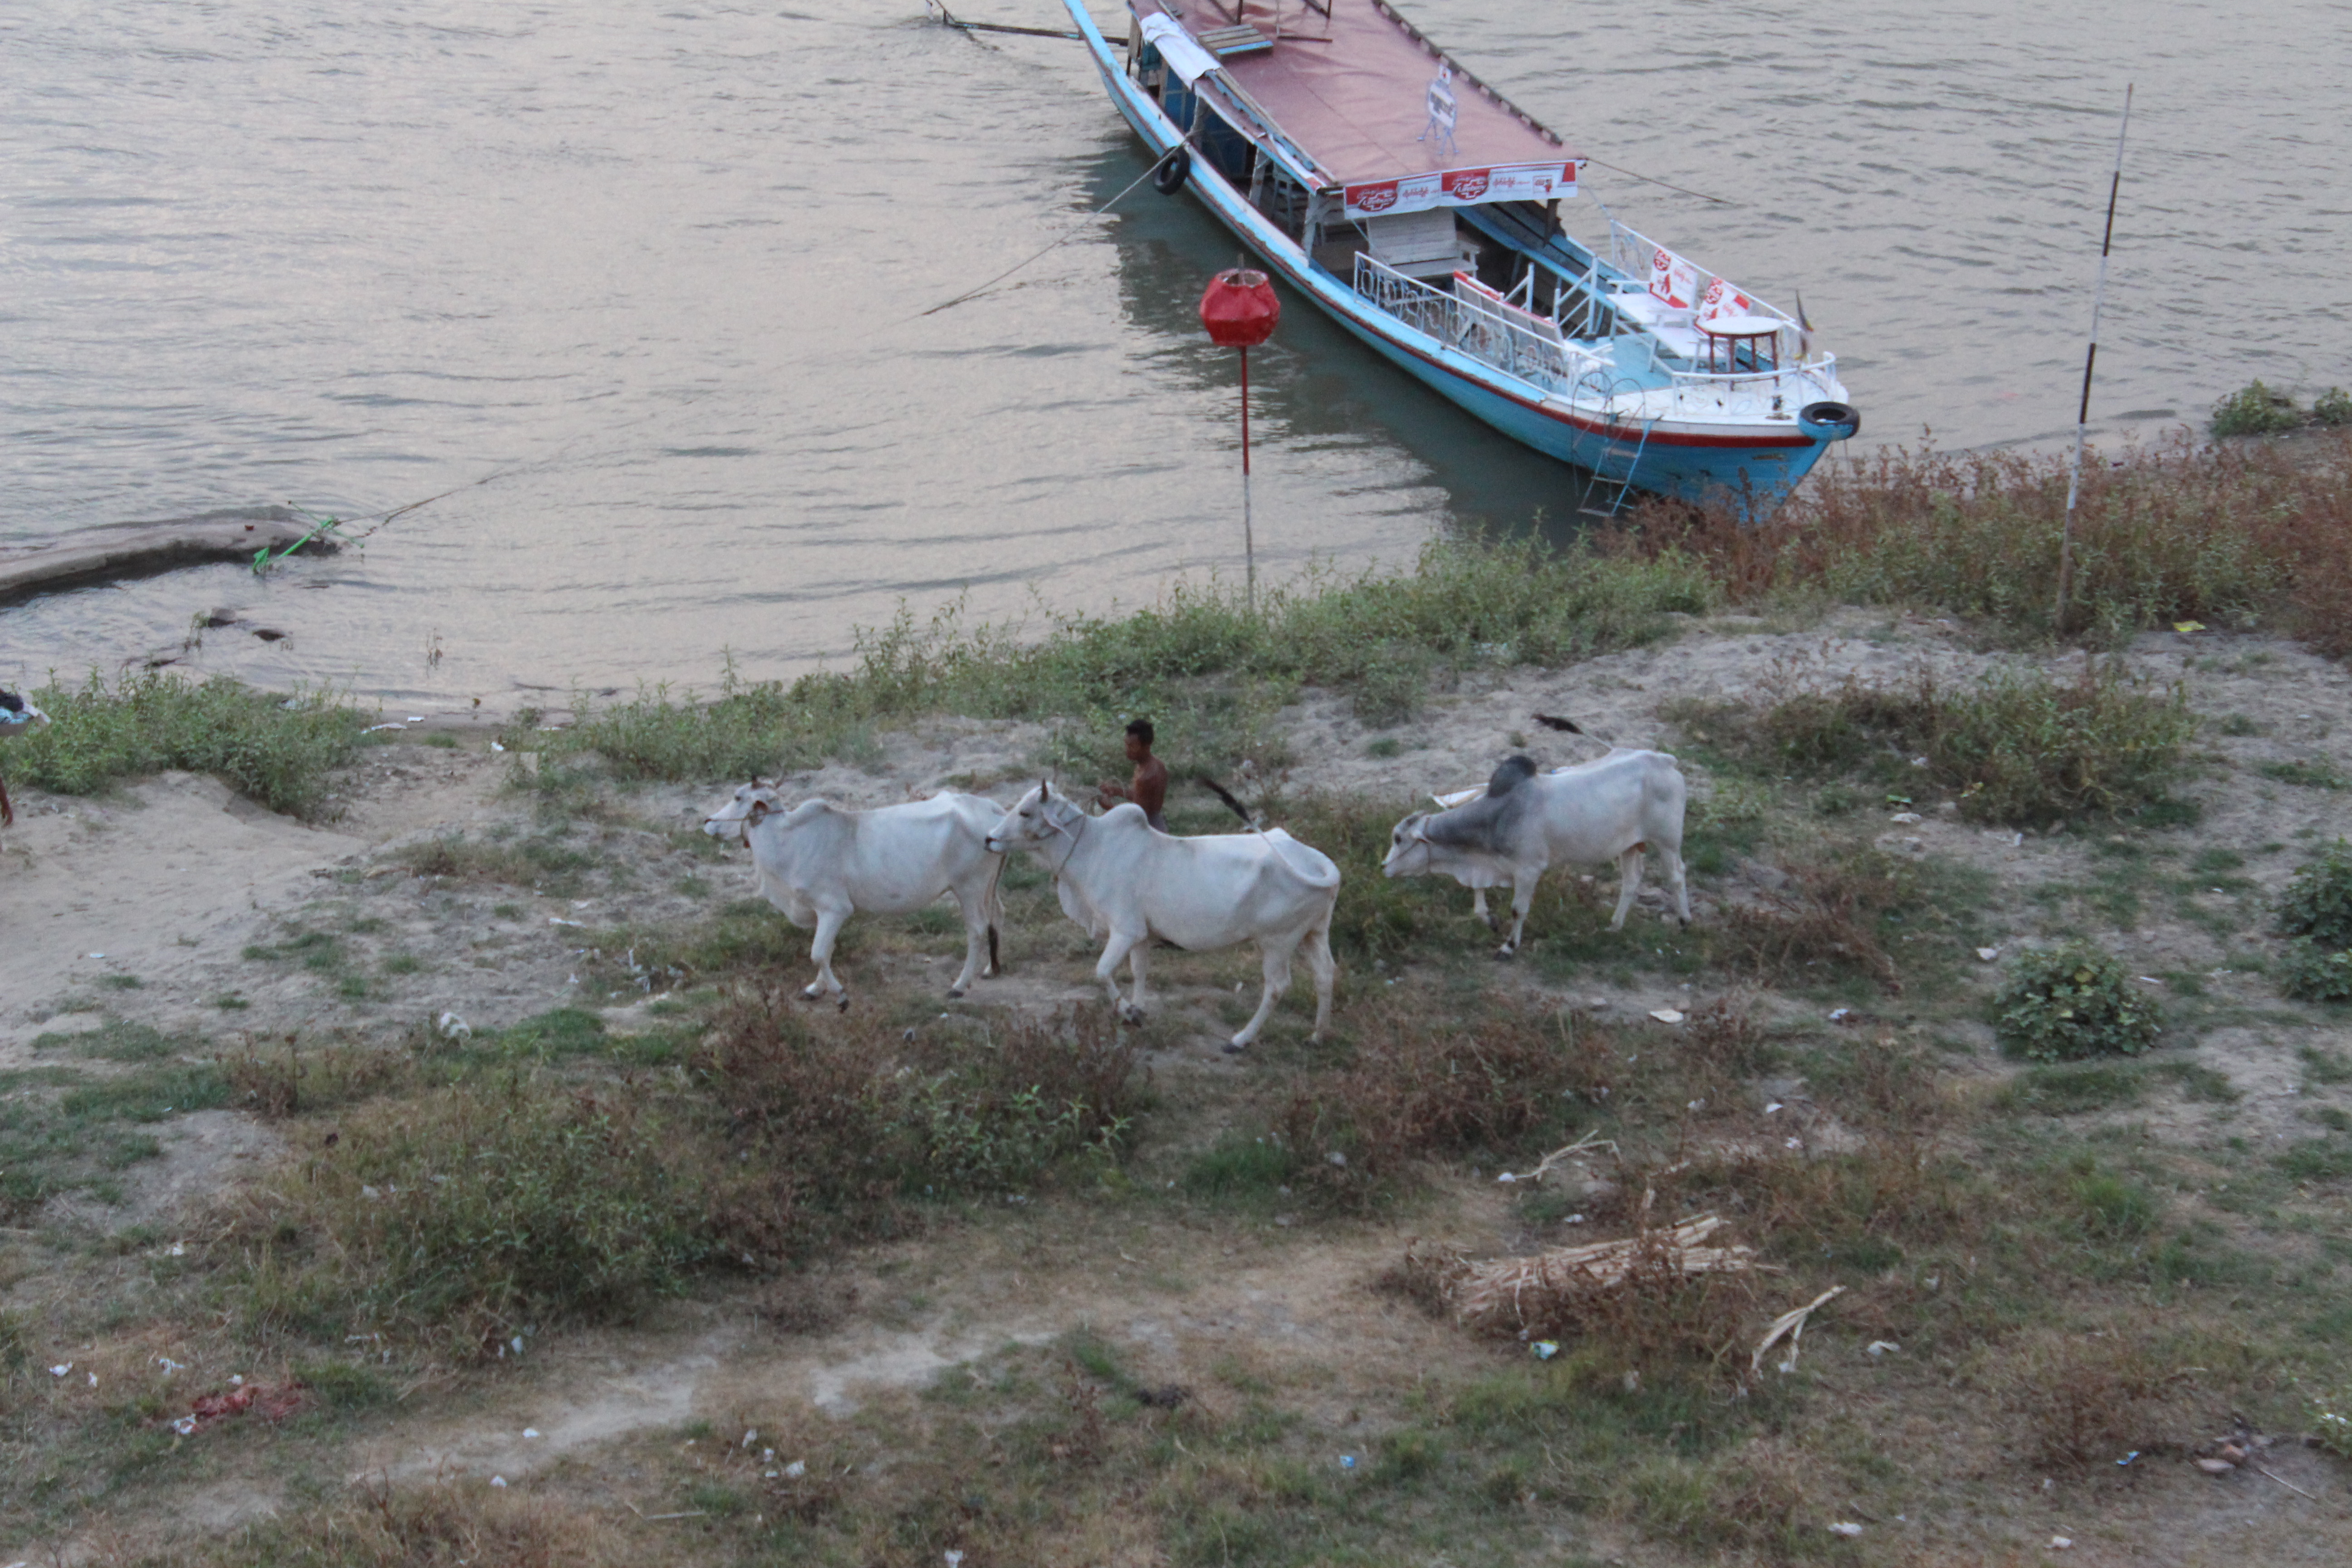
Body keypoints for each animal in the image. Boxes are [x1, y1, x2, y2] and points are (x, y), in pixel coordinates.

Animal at [686, 780, 1002, 1006]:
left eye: (738, 798)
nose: (708, 821)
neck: (789, 841)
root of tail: (992, 807)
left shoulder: (834, 909)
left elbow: (818, 953)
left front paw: (839, 994)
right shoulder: (822, 913)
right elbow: (826, 951)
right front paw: (816, 989)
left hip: (969, 887)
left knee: (977, 930)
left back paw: (959, 987)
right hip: (987, 887)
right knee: (995, 920)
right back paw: (991, 969)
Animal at [978, 785, 1345, 1053]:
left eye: (1026, 812)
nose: (989, 838)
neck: (1093, 848)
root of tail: (1319, 864)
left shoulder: (1125, 931)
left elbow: (1102, 972)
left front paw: (1127, 1011)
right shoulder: (1141, 936)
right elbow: (1139, 972)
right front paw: (1137, 1011)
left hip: (1276, 943)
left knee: (1277, 986)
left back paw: (1241, 1040)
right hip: (1314, 934)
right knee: (1326, 975)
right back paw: (1318, 1036)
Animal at [1373, 747, 1693, 959]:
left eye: (1398, 838)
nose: (1384, 867)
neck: (1499, 814)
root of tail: (1663, 760)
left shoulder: (1528, 869)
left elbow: (1518, 909)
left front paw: (1508, 946)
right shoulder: (1487, 866)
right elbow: (1479, 899)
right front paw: (1490, 921)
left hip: (1667, 841)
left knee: (1677, 876)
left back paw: (1684, 922)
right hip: (1628, 846)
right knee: (1631, 880)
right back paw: (1614, 926)